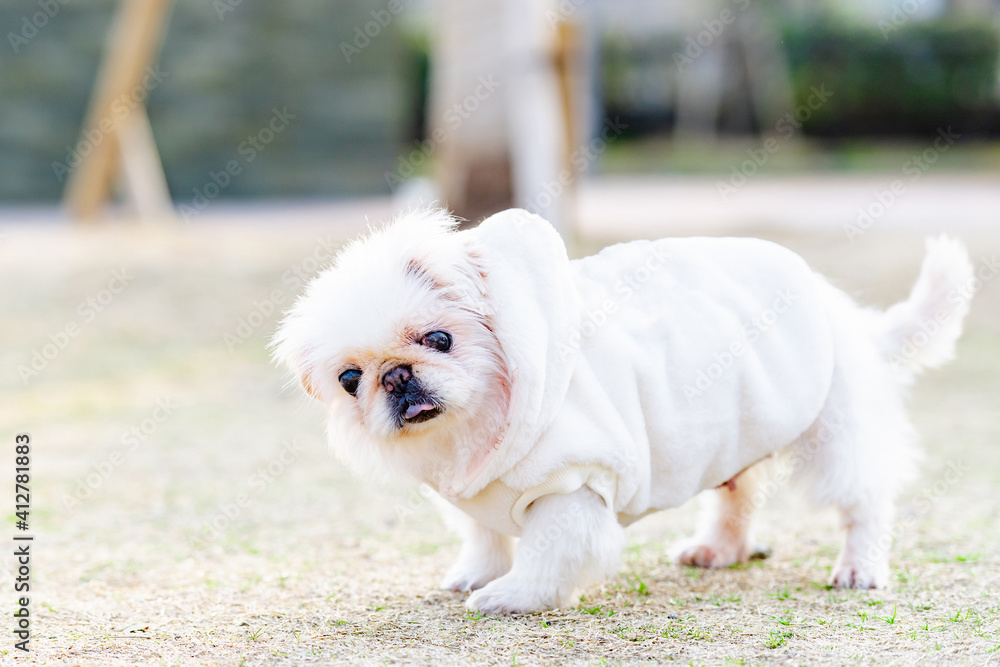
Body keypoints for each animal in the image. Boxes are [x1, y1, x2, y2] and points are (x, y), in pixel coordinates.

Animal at [270, 209, 972, 616]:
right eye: (350, 379)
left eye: (437, 339)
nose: (395, 376)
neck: (470, 434)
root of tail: (840, 308)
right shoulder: (473, 495)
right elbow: (485, 537)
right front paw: (476, 575)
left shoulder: (570, 490)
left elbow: (545, 557)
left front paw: (510, 598)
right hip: (735, 438)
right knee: (739, 498)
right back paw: (719, 550)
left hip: (834, 438)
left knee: (863, 503)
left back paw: (859, 568)